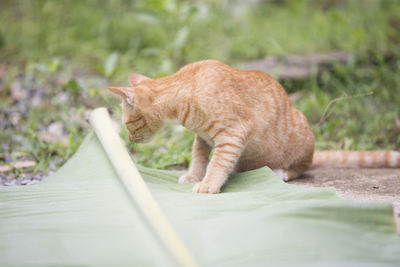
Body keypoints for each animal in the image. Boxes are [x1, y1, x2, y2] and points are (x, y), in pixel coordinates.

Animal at [108, 60, 400, 195]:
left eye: (127, 123)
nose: (130, 139)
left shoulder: (233, 133)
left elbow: (217, 163)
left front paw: (208, 184)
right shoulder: (202, 138)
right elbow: (199, 157)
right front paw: (194, 175)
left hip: (301, 138)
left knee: (301, 168)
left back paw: (282, 172)